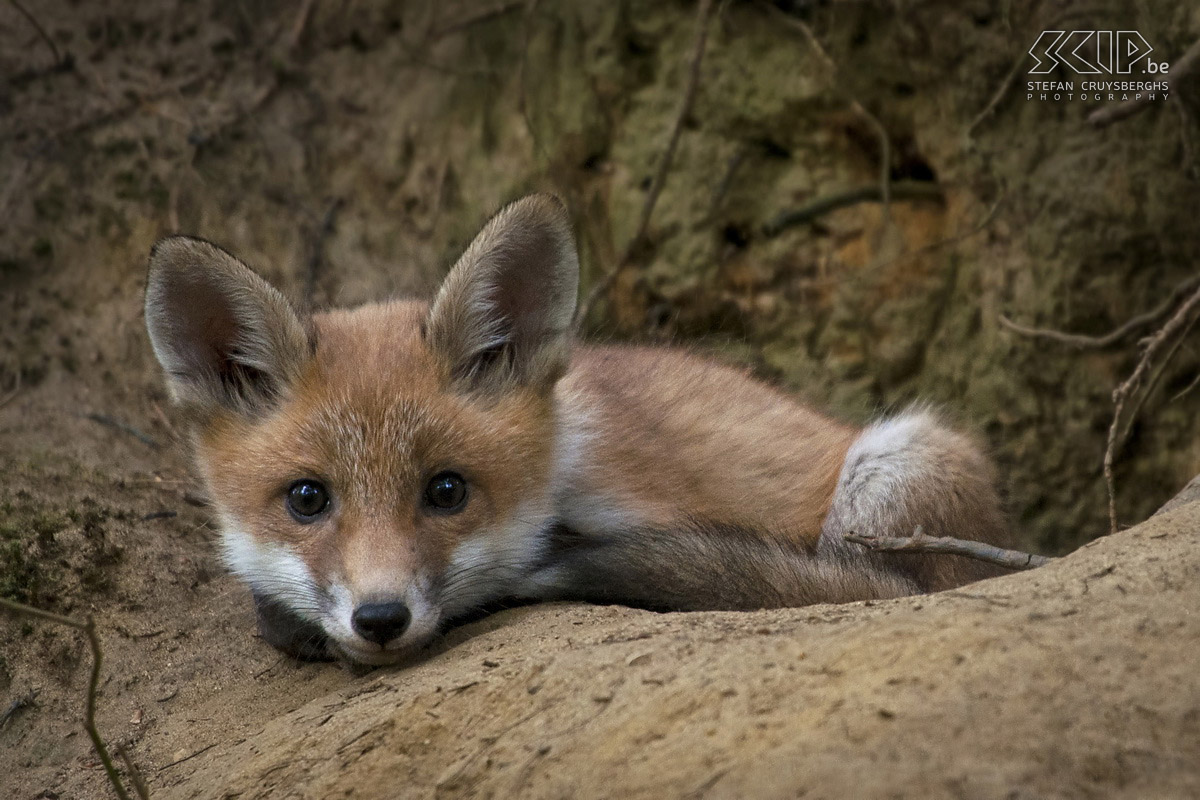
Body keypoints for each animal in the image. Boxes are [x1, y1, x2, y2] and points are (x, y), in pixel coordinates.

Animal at [150, 194, 1012, 662]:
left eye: (447, 491)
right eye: (307, 500)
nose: (382, 619)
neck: (560, 475)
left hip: (895, 470)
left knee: (883, 587)